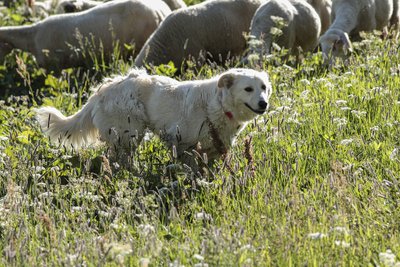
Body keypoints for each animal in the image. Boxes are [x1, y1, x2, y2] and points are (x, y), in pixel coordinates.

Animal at [36, 68, 272, 168]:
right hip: (129, 134)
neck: (219, 104)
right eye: (248, 89)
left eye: (263, 87)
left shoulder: (215, 148)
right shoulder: (183, 142)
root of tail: (103, 89)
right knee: (119, 158)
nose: (264, 104)